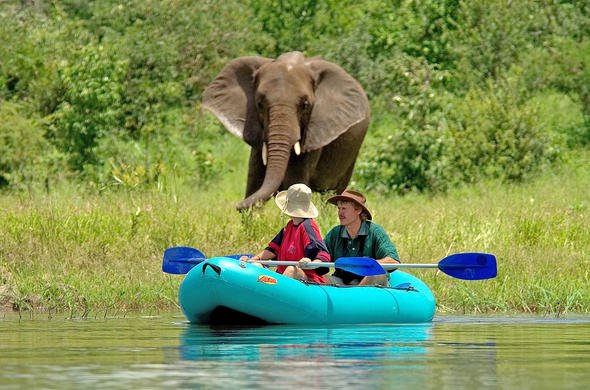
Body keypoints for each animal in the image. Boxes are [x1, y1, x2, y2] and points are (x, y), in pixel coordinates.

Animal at [204, 52, 370, 210]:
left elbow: (294, 180)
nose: (237, 205)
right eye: (259, 104)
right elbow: (255, 179)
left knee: (333, 194)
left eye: (305, 105)